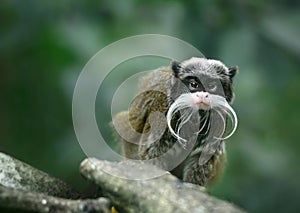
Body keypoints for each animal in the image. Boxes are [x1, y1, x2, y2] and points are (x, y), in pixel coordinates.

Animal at [113, 57, 238, 186]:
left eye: (212, 85)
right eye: (194, 84)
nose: (203, 96)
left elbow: (202, 159)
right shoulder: (162, 107)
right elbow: (151, 152)